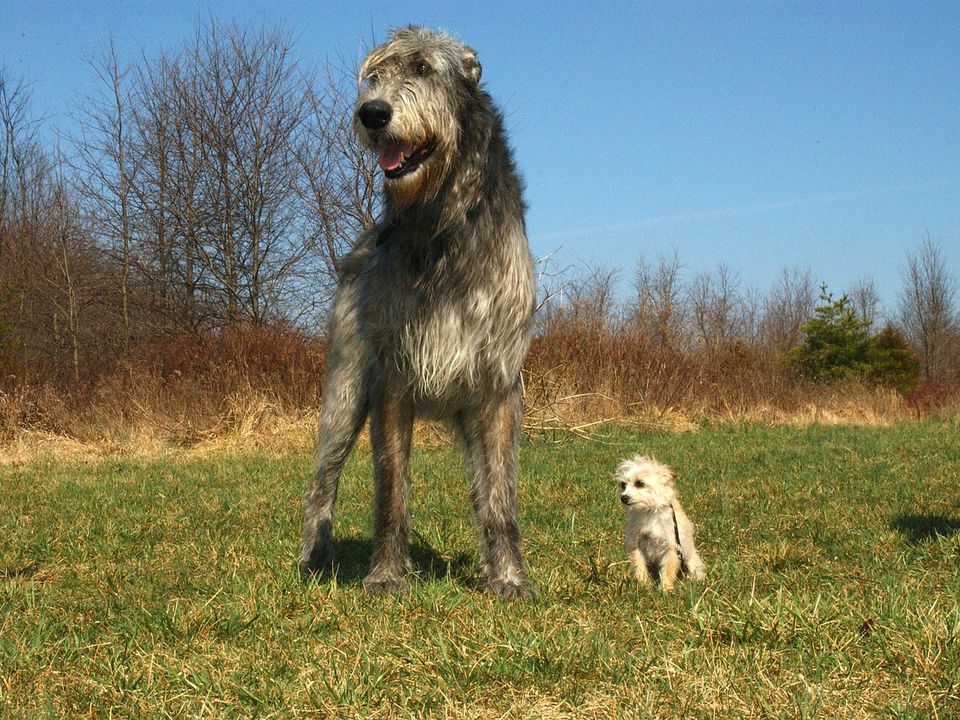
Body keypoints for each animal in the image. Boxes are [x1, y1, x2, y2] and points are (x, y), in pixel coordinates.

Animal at [300, 26, 536, 596]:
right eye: (375, 76)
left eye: (425, 69)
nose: (372, 113)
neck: (441, 221)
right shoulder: (392, 379)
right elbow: (391, 491)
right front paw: (386, 575)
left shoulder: (499, 385)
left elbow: (500, 497)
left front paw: (509, 577)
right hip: (345, 390)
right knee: (323, 479)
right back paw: (314, 556)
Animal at [620, 456, 700, 592]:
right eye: (623, 485)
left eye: (640, 483)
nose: (623, 498)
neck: (650, 511)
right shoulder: (636, 545)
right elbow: (639, 567)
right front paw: (643, 586)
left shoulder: (671, 547)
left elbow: (668, 570)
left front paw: (665, 590)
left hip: (691, 562)